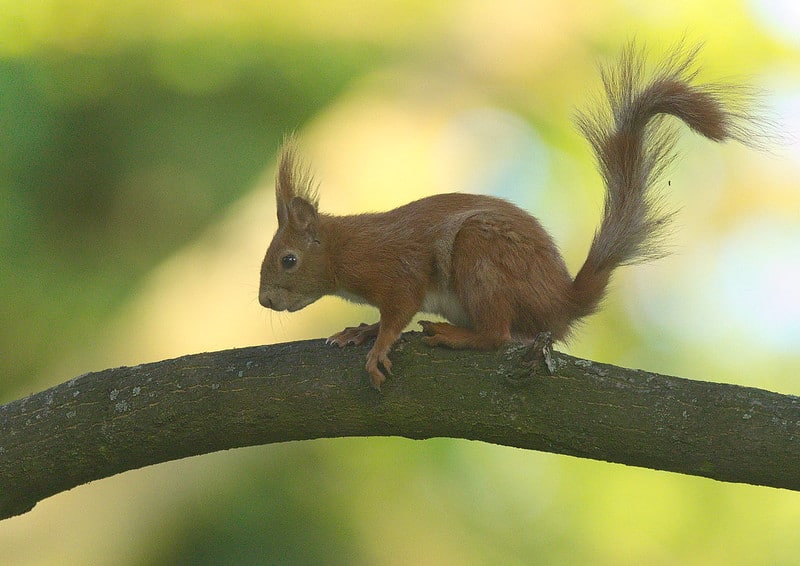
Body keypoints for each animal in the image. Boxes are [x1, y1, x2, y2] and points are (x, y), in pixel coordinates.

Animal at [260, 45, 756, 390]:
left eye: (288, 260)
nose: (265, 301)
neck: (344, 248)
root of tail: (561, 302)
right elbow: (384, 317)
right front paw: (359, 330)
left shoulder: (396, 268)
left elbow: (399, 309)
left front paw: (377, 343)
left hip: (481, 256)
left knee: (499, 336)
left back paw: (454, 335)